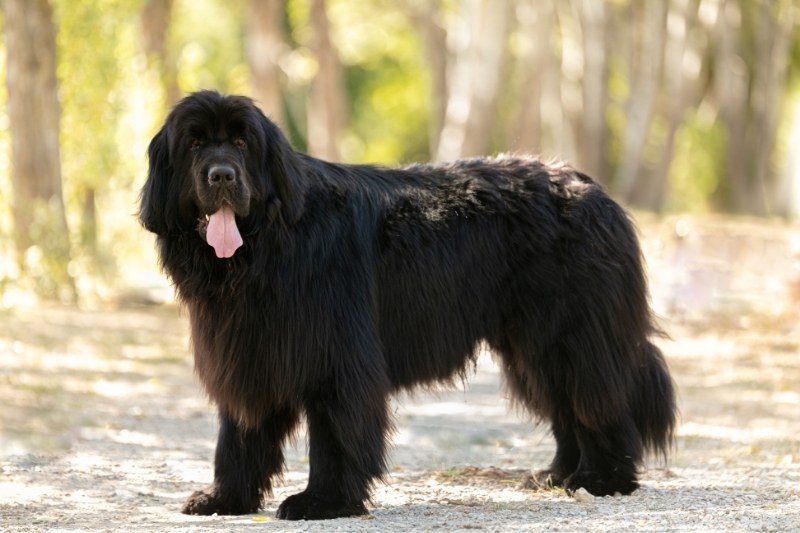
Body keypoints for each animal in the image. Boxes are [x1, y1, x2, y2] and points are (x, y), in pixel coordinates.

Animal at [139, 91, 676, 520]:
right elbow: (238, 436)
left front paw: (324, 502)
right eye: (194, 144)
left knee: (599, 402)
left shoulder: (336, 358)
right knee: (564, 405)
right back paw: (558, 474)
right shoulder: (248, 353)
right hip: (531, 345)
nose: (222, 175)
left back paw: (603, 480)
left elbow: (334, 435)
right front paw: (225, 498)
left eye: (243, 143)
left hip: (571, 336)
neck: (270, 244)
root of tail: (593, 188)